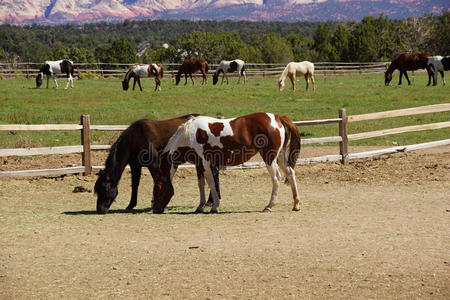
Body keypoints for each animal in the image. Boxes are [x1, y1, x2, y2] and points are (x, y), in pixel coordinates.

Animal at [151, 112, 302, 213]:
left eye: (158, 187)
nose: (155, 209)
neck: (190, 135)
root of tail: (277, 118)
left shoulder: (206, 164)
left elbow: (211, 184)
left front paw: (214, 206)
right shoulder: (199, 165)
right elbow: (201, 185)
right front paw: (200, 206)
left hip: (269, 157)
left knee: (276, 178)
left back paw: (269, 206)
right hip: (280, 156)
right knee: (290, 173)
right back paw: (296, 204)